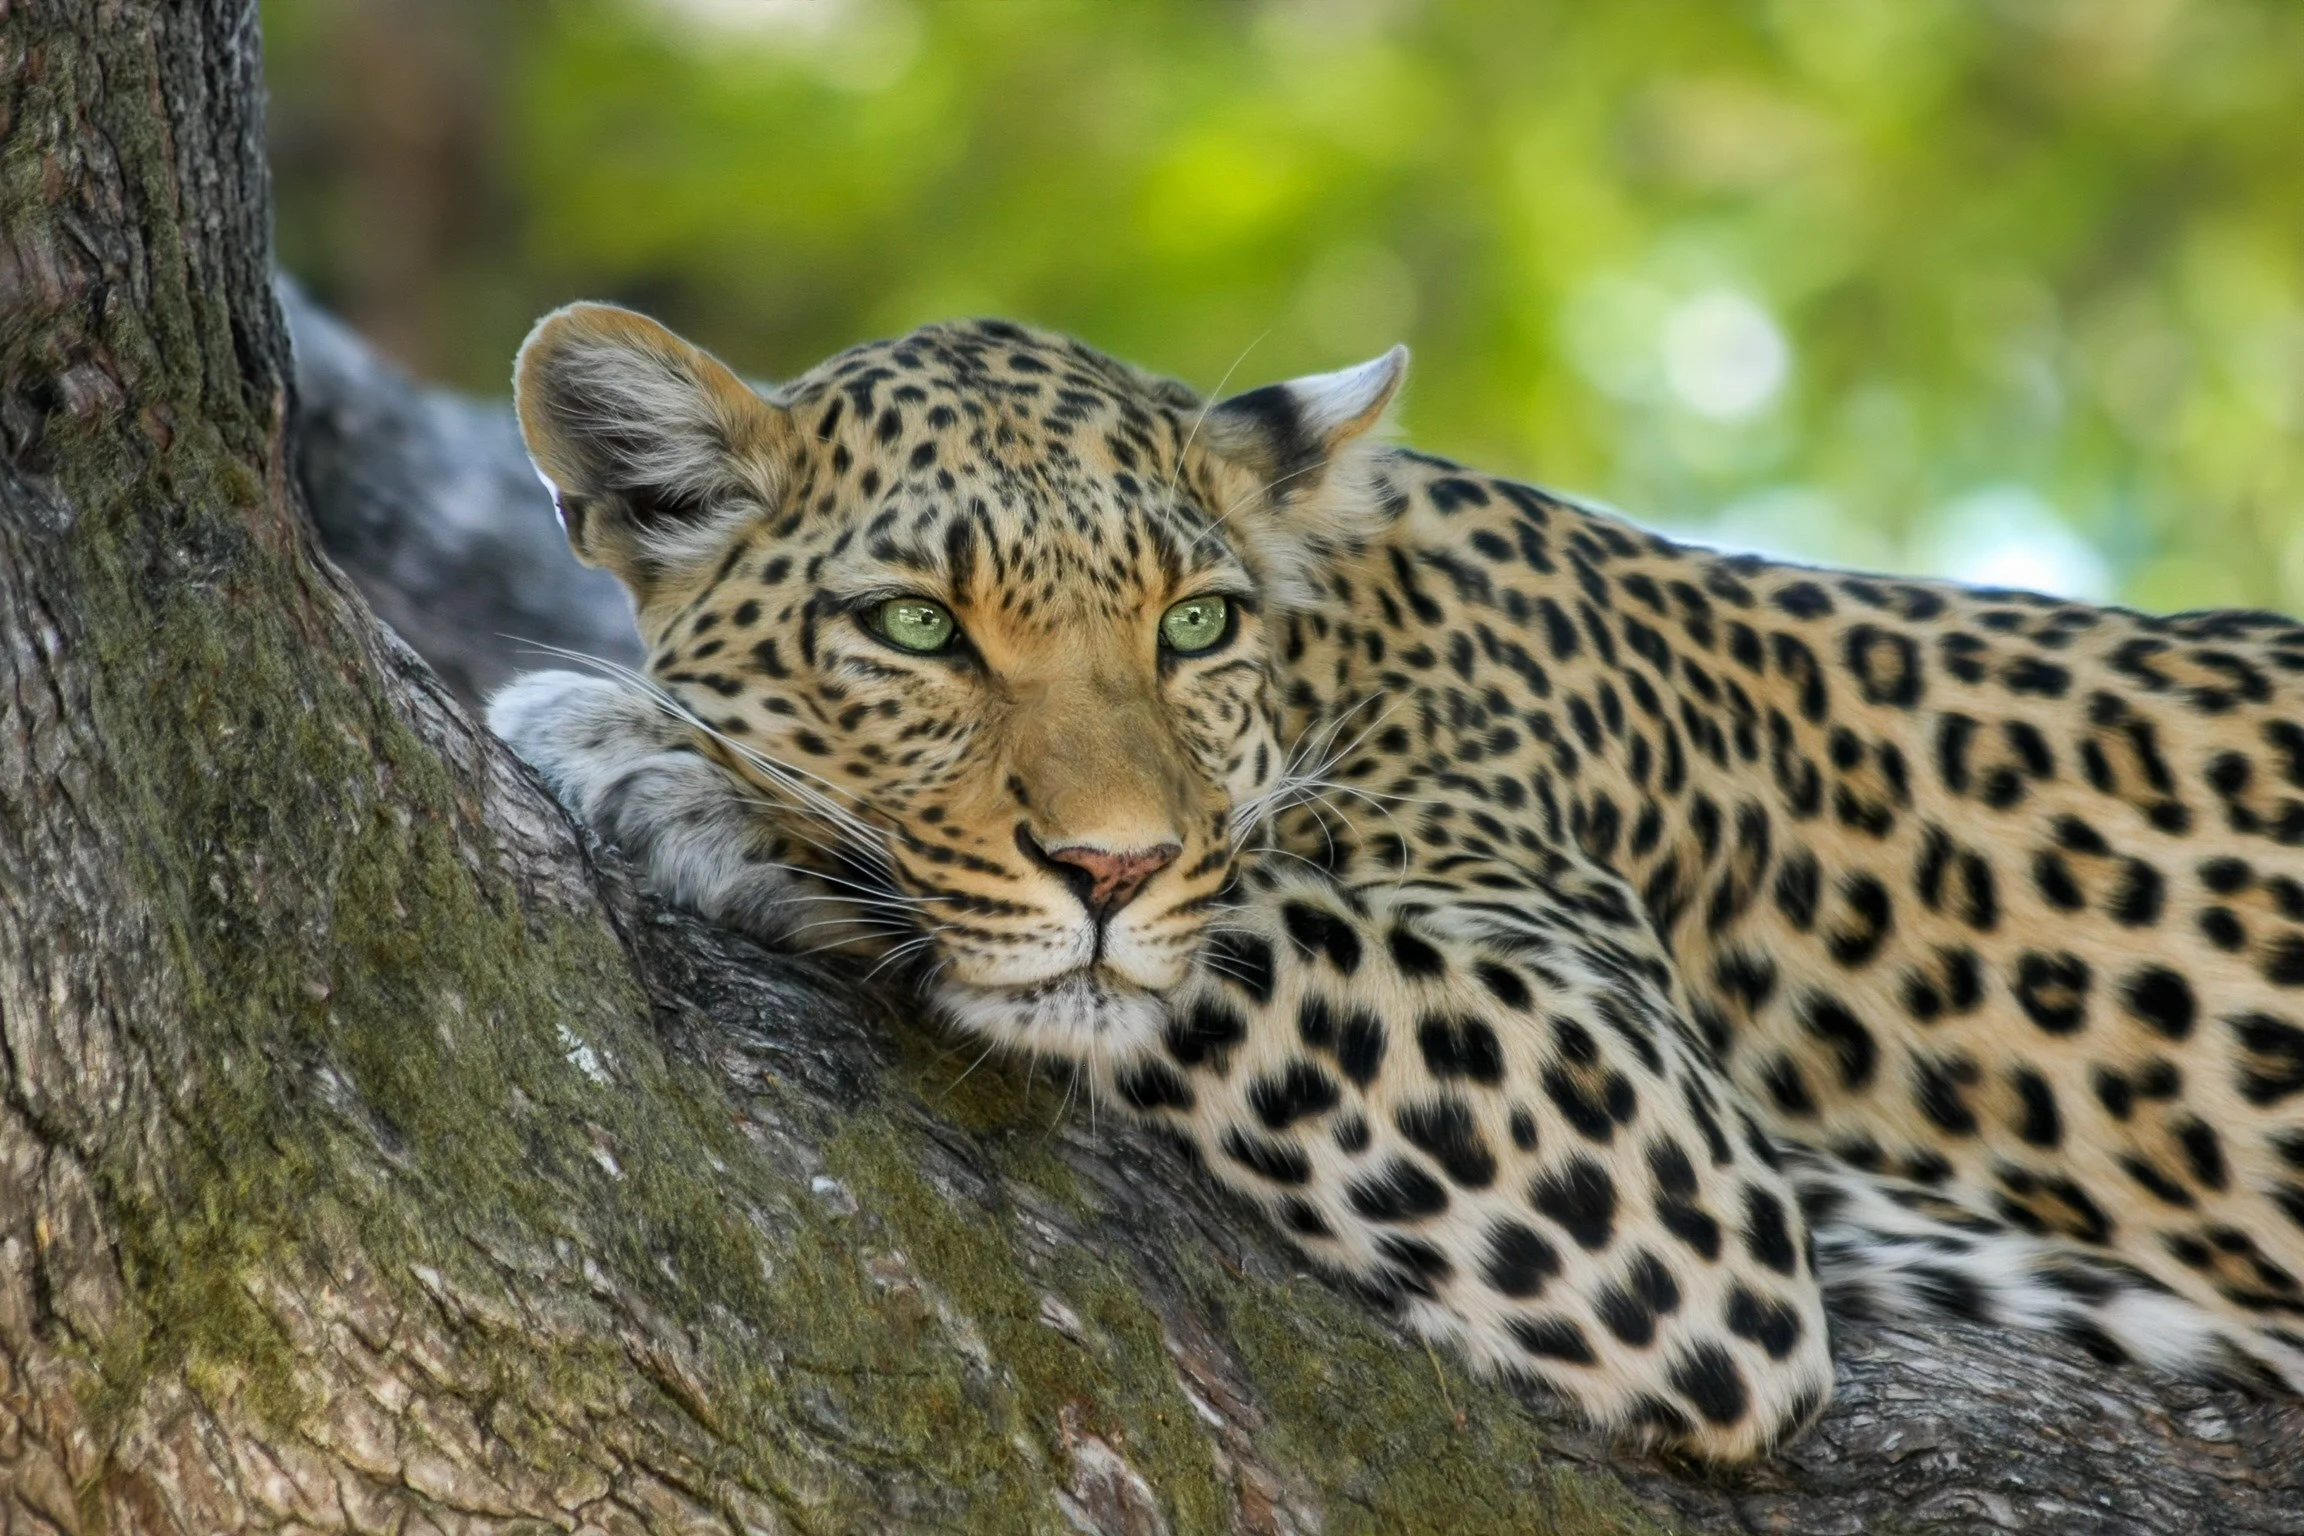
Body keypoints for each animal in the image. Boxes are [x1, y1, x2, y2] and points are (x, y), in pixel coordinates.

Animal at [487, 301, 2304, 1461]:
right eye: (918, 627)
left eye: (1193, 625)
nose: (1109, 863)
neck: (1345, 645)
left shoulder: (1655, 1148)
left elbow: (1239, 926)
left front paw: (665, 757)